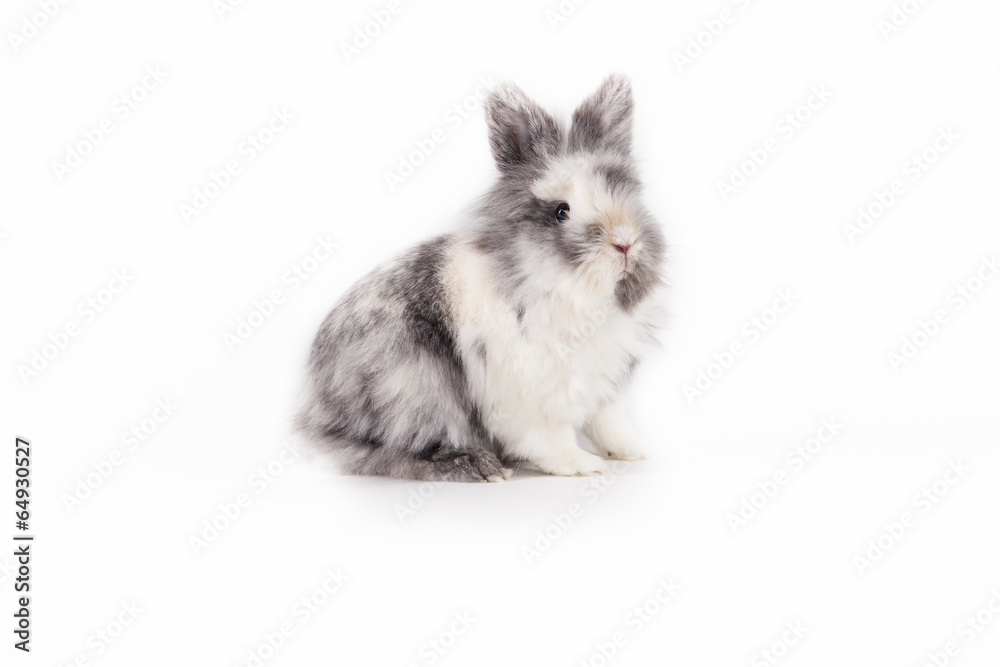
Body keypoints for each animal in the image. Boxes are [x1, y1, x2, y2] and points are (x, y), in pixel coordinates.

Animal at [297, 74, 667, 482]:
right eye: (561, 211)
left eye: (629, 196)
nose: (626, 243)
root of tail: (317, 405)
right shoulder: (526, 398)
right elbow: (548, 441)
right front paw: (585, 465)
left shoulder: (603, 389)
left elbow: (609, 425)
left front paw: (634, 452)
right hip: (413, 382)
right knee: (383, 453)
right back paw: (478, 466)